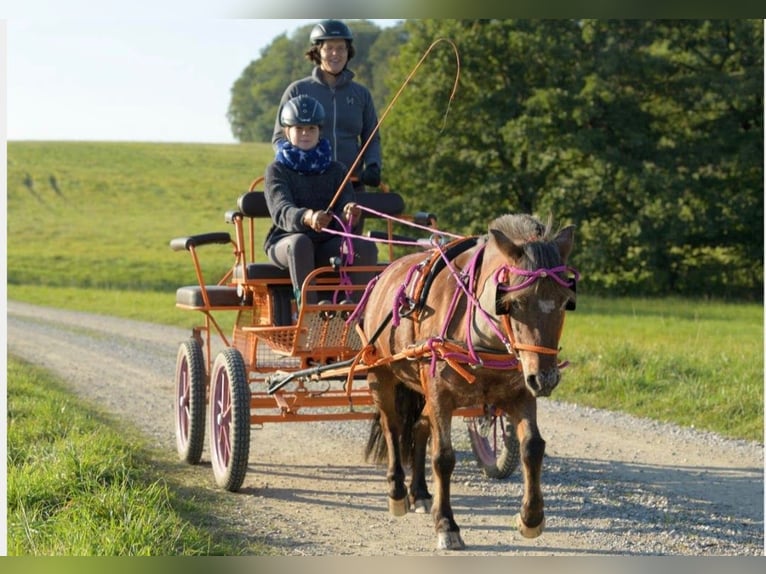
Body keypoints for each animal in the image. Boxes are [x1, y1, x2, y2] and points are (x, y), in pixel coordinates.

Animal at [364, 214, 580, 552]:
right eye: (515, 302)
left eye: (564, 301)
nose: (545, 378)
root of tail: (385, 273)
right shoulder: (440, 393)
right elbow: (443, 457)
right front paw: (446, 524)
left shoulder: (520, 391)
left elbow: (532, 446)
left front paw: (531, 518)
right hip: (381, 374)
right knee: (393, 428)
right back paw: (398, 492)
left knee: (419, 427)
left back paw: (420, 492)